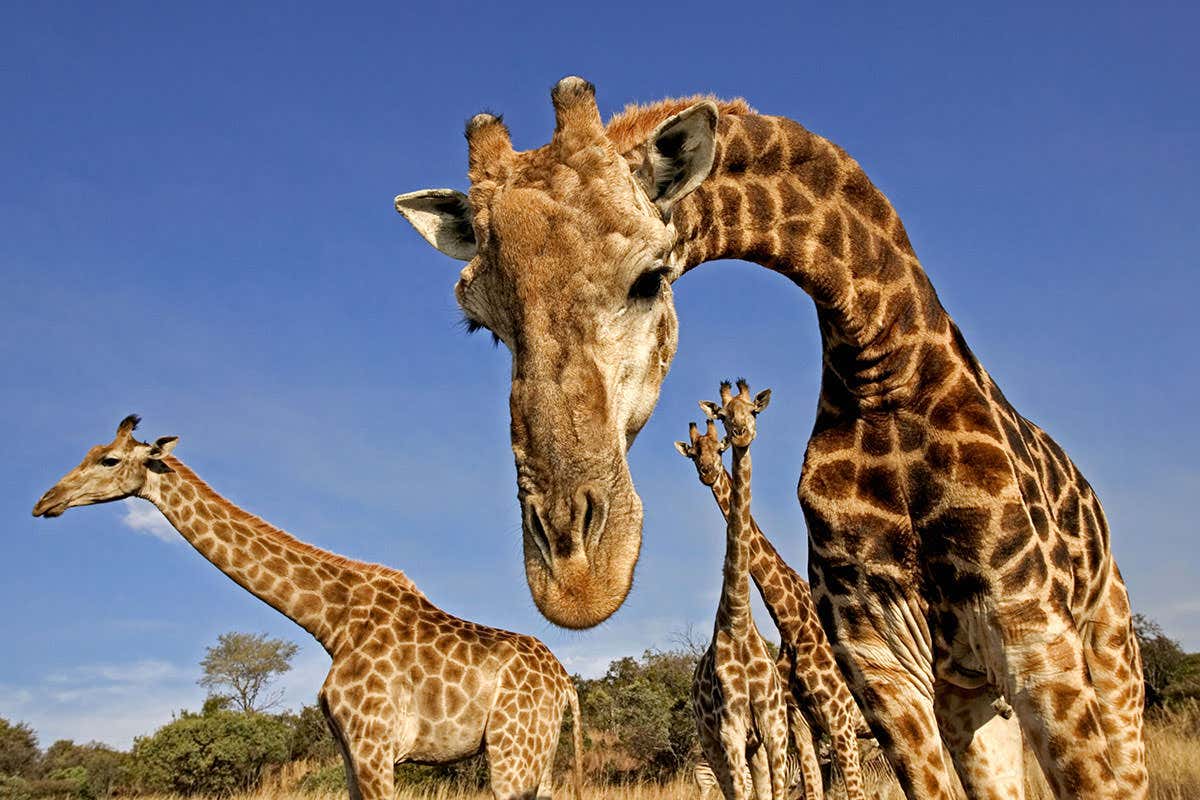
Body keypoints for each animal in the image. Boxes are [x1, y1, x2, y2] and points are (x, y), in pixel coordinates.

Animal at [31, 415, 584, 800]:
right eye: (90, 451)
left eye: (108, 460)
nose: (44, 501)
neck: (331, 623)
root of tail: (565, 685)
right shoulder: (349, 748)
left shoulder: (374, 743)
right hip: (537, 758)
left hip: (512, 753)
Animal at [676, 416, 870, 800]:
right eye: (693, 453)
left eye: (719, 447)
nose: (708, 471)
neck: (792, 622)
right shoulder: (800, 722)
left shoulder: (838, 719)